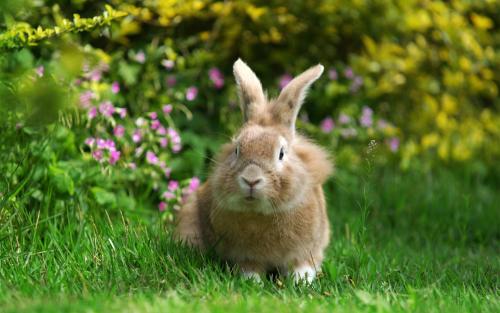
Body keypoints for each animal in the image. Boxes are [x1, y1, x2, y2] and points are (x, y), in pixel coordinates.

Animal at [174, 59, 334, 282]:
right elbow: (249, 270)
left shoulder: (307, 251)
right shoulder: (244, 255)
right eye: (236, 150)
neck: (261, 213)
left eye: (281, 153)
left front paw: (301, 282)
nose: (251, 179)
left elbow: (303, 267)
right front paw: (253, 282)